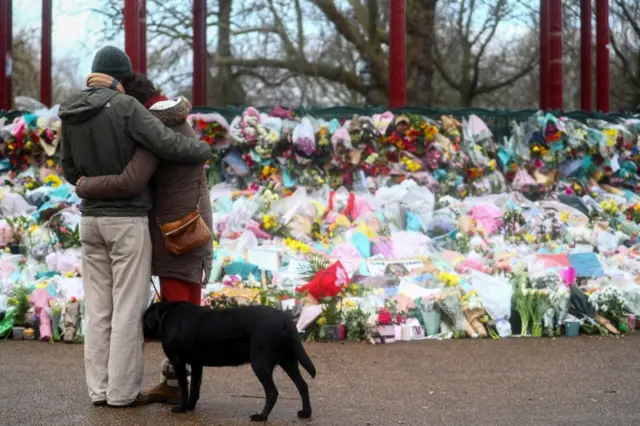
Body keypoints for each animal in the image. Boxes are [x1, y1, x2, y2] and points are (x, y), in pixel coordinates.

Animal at [144, 302, 316, 422]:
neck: (166, 315)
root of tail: (284, 318)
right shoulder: (196, 364)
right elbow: (194, 389)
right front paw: (190, 407)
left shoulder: (178, 362)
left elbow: (184, 388)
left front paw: (181, 408)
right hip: (288, 361)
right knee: (303, 385)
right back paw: (305, 413)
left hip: (260, 363)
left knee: (273, 392)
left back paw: (261, 417)